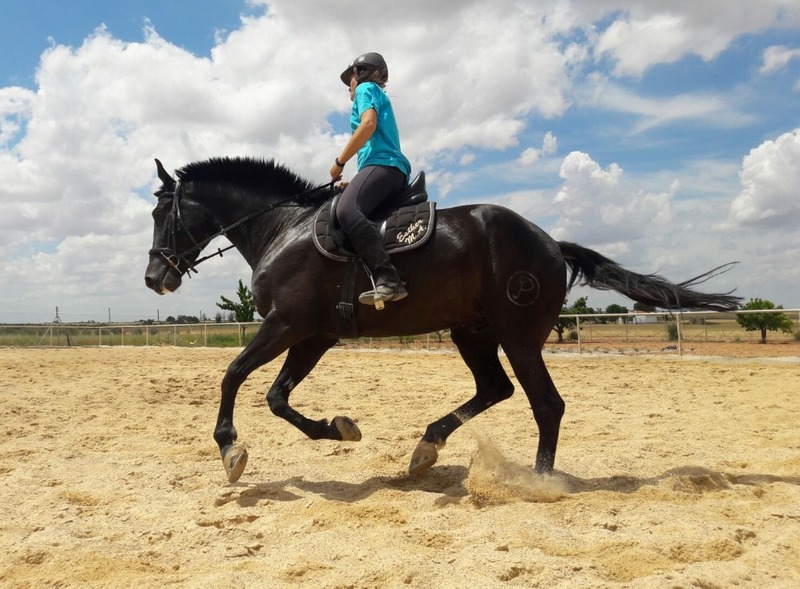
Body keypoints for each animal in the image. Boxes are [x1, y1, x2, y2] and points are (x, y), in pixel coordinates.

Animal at [144, 156, 740, 483]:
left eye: (158, 212)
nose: (154, 277)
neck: (283, 228)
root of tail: (551, 242)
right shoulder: (314, 335)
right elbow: (276, 397)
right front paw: (340, 428)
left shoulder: (286, 325)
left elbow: (233, 375)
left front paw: (229, 449)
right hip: (471, 332)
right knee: (496, 389)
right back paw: (427, 447)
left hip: (519, 337)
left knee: (545, 403)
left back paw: (538, 482)